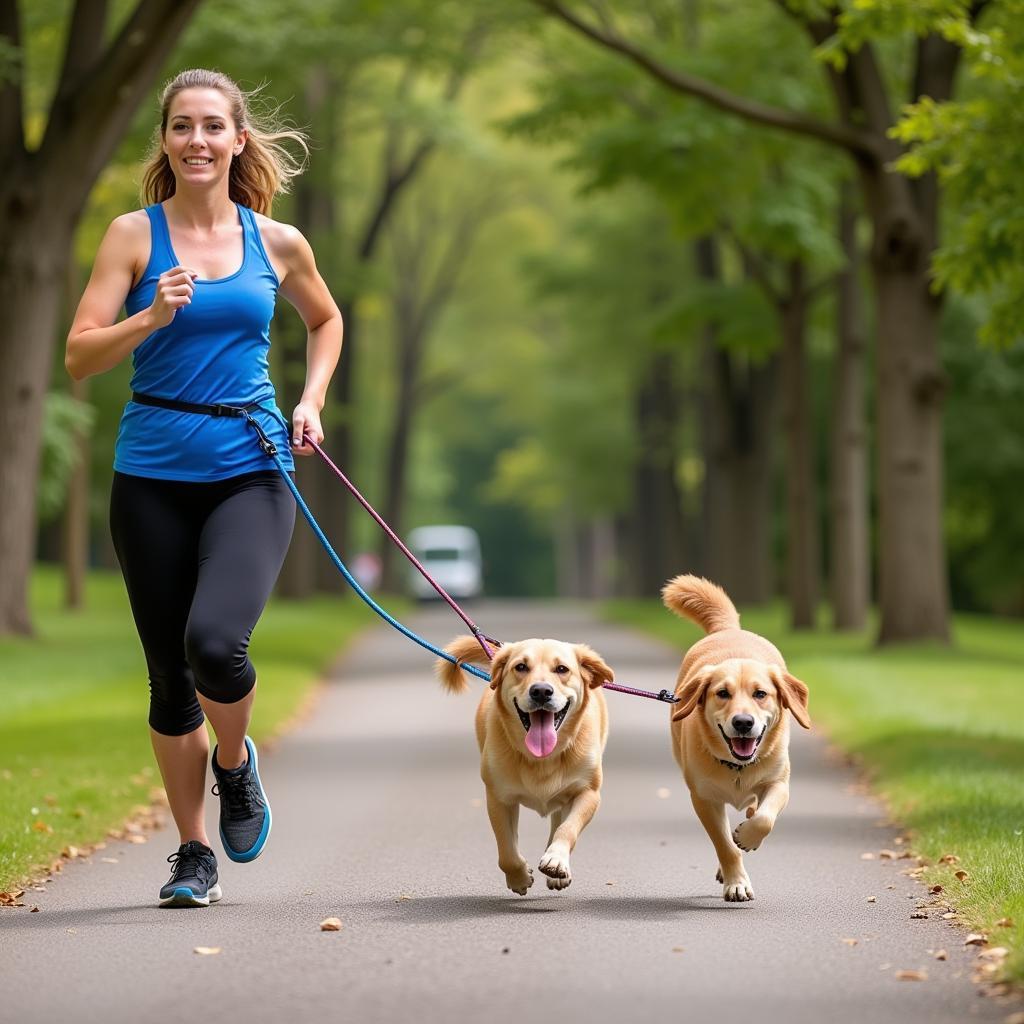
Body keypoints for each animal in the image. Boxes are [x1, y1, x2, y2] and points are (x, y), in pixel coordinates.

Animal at [436, 634, 610, 892]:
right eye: (520, 667)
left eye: (562, 669)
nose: (541, 691)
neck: (542, 758)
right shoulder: (498, 798)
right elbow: (507, 850)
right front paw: (519, 877)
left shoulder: (588, 792)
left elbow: (567, 828)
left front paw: (556, 860)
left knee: (558, 820)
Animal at [659, 577, 811, 905]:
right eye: (722, 693)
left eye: (760, 694)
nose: (743, 722)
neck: (737, 767)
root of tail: (728, 630)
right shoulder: (704, 799)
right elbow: (724, 845)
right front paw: (736, 882)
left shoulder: (779, 783)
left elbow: (764, 818)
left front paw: (749, 835)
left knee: (754, 808)